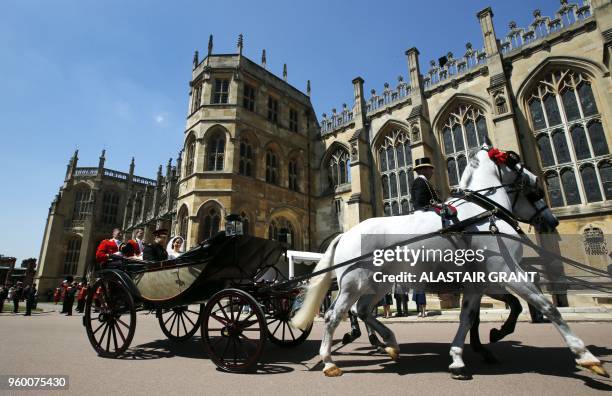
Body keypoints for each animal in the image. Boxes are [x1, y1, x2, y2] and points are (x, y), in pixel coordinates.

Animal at [292, 145, 608, 378]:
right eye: (532, 186)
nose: (551, 221)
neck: (481, 215)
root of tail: (345, 234)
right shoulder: (507, 272)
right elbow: (547, 307)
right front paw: (585, 355)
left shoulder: (479, 283)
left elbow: (469, 317)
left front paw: (461, 355)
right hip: (354, 284)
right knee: (335, 315)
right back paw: (329, 361)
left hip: (377, 285)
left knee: (364, 311)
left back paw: (390, 344)